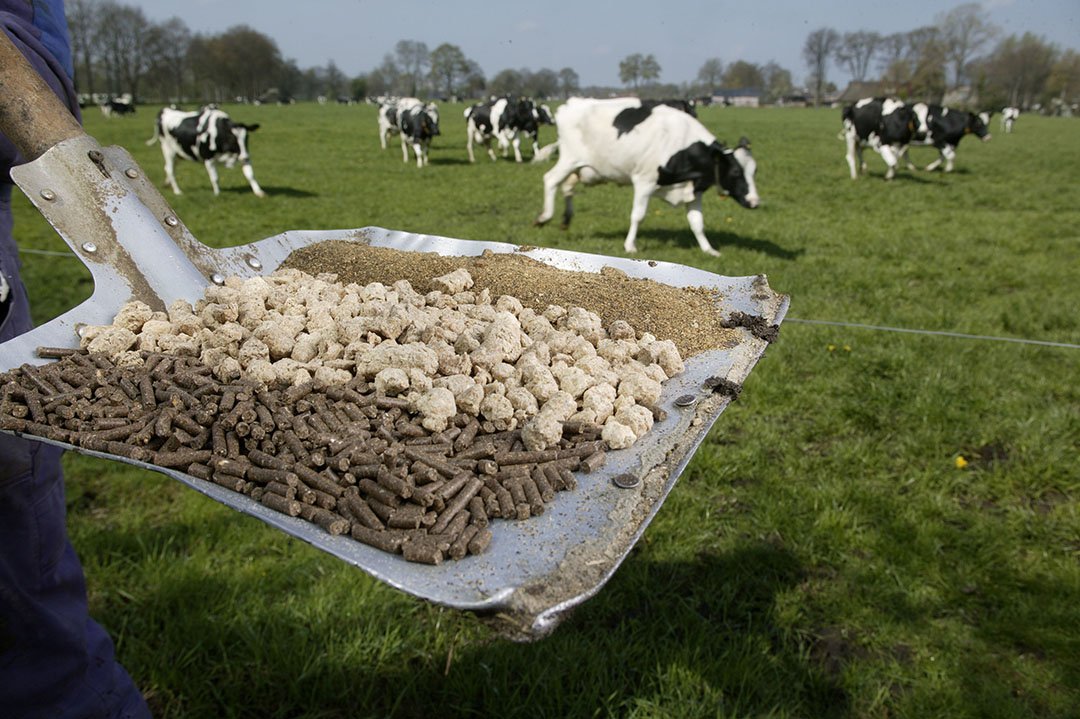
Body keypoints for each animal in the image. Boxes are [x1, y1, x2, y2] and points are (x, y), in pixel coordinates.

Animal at [533, 97, 758, 256]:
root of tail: (571, 103)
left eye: (754, 171)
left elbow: (697, 222)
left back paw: (565, 220)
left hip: (582, 169)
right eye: (736, 172)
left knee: (567, 187)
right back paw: (544, 217)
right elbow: (638, 215)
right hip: (569, 158)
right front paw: (630, 245)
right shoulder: (644, 181)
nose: (754, 202)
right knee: (550, 179)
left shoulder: (694, 191)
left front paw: (709, 250)